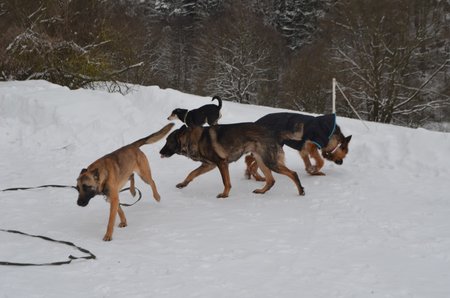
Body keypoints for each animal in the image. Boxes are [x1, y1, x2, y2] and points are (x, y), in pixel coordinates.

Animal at [159, 122, 306, 199]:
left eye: (168, 141)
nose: (160, 152)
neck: (192, 139)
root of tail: (274, 132)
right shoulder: (208, 165)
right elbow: (191, 173)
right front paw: (183, 184)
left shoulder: (221, 164)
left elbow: (226, 182)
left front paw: (225, 194)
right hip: (261, 161)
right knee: (271, 180)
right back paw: (261, 191)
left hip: (270, 162)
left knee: (292, 173)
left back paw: (301, 191)